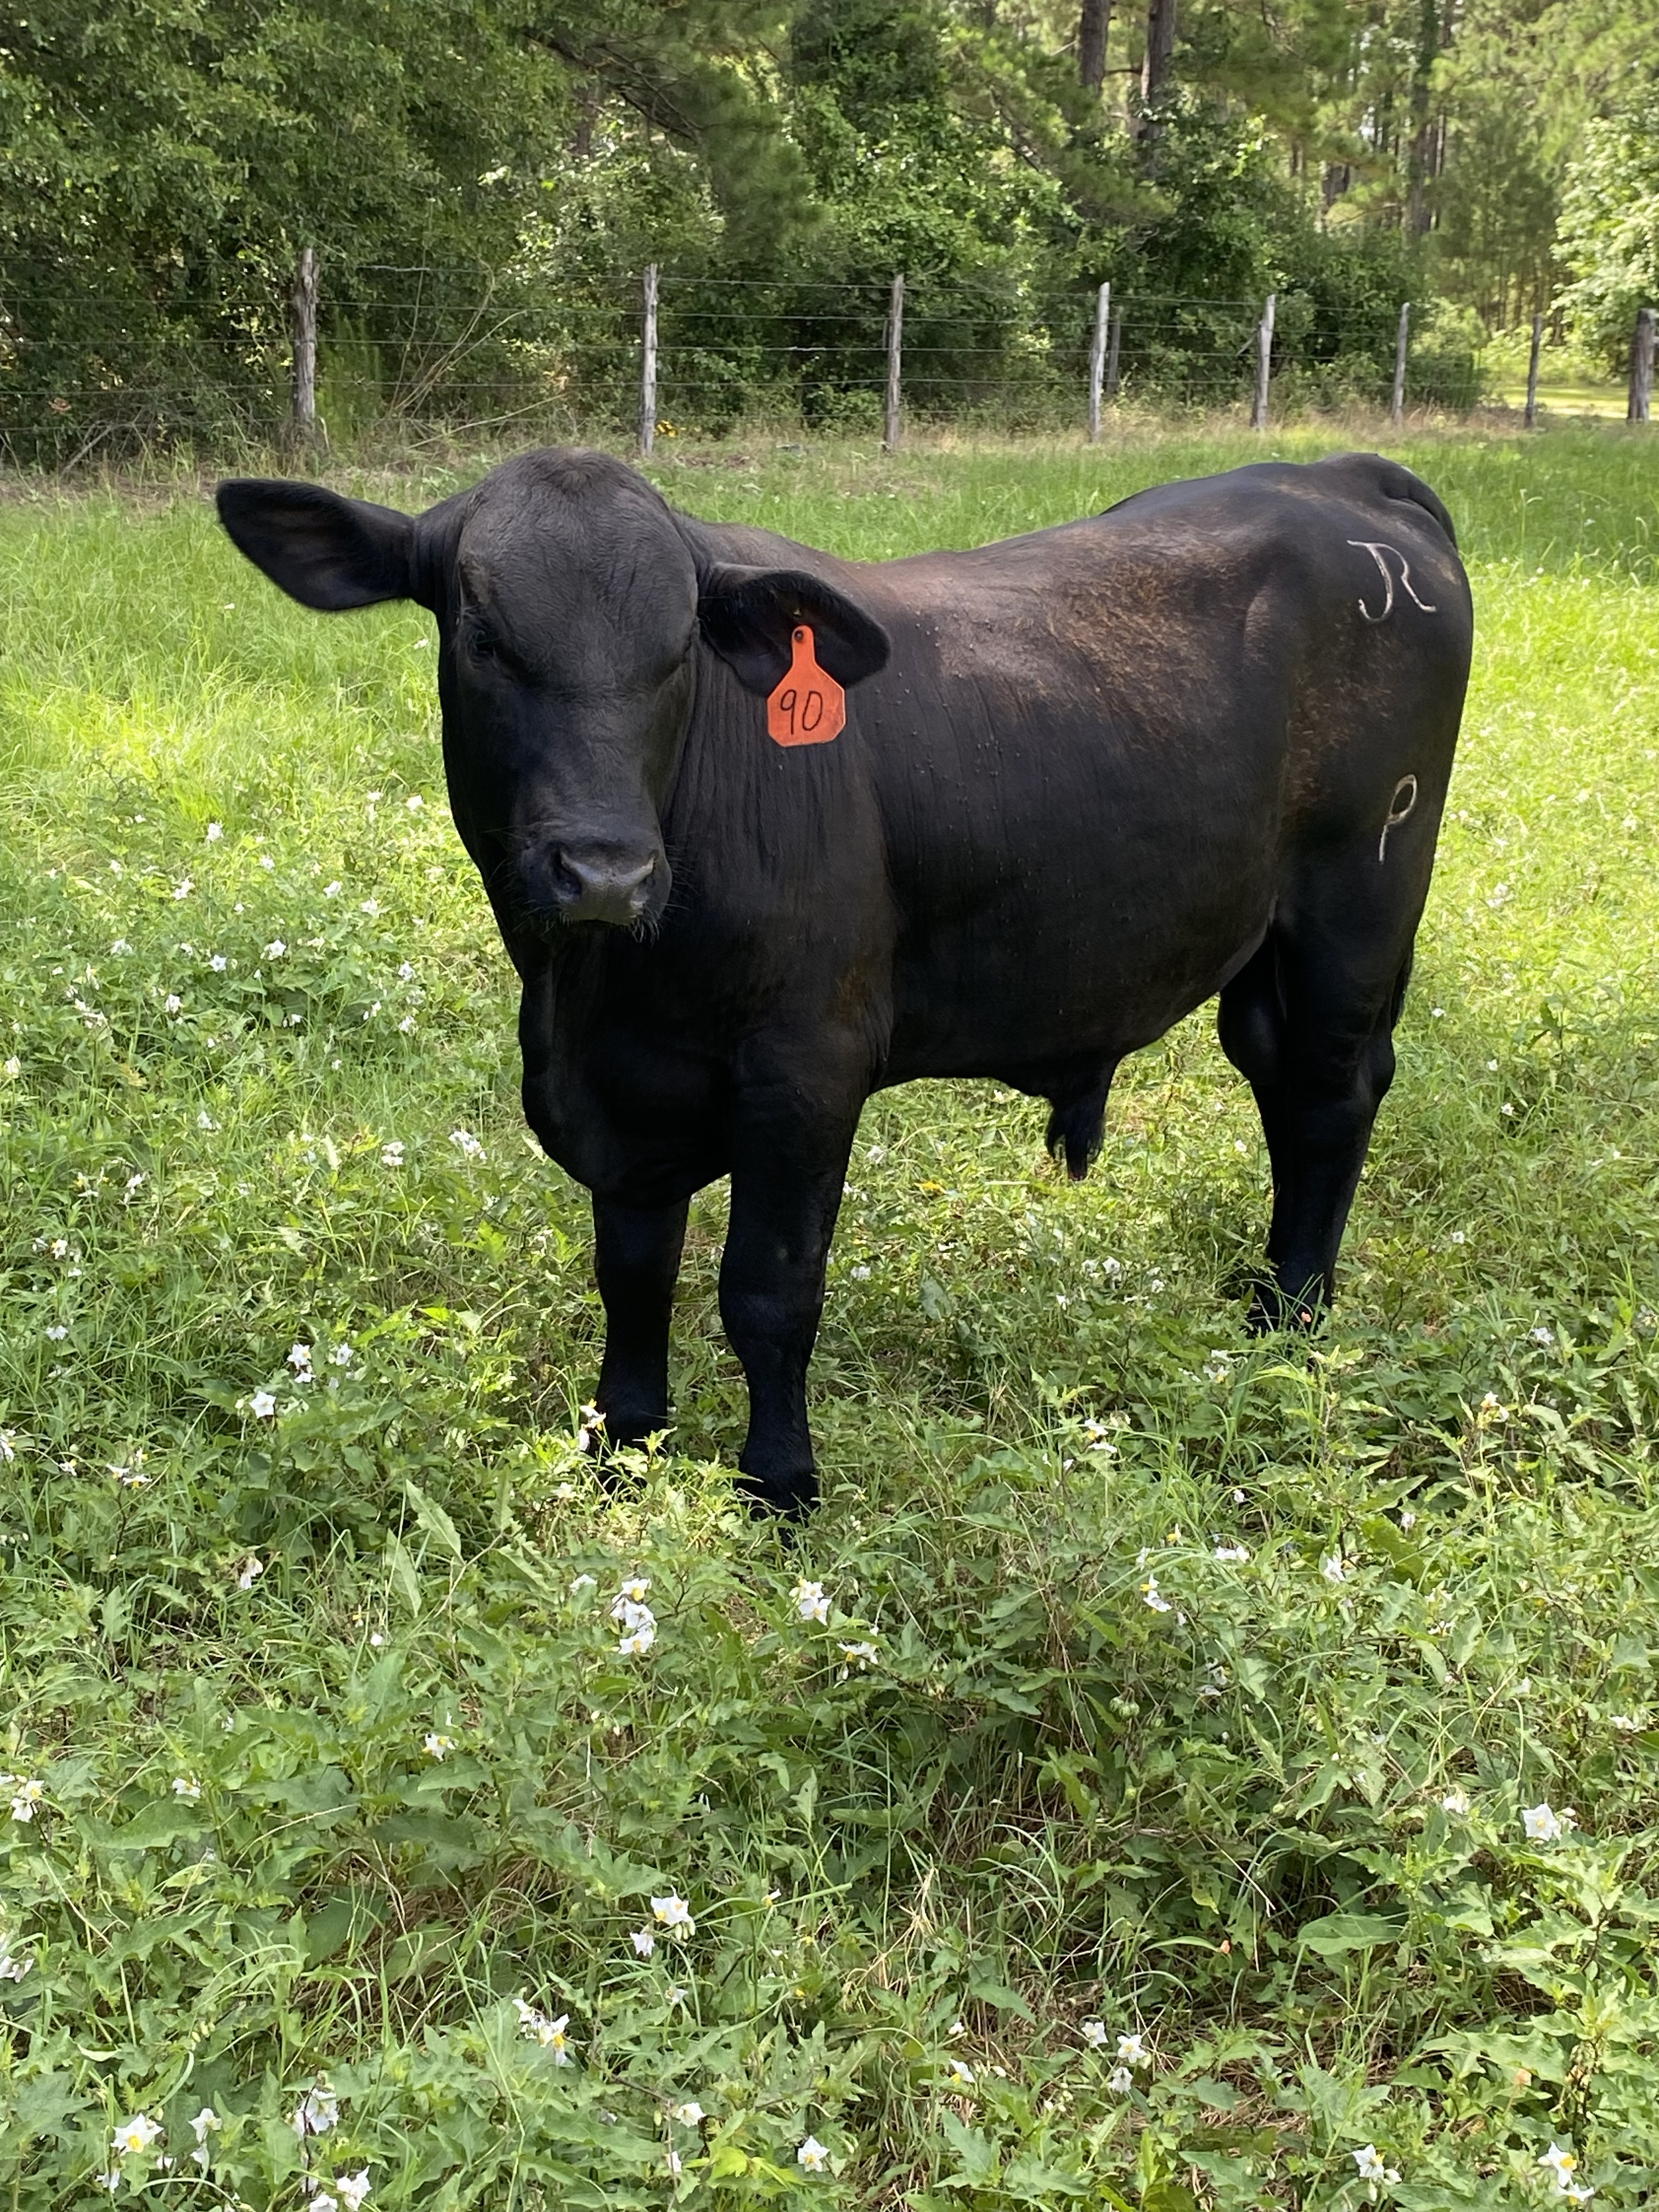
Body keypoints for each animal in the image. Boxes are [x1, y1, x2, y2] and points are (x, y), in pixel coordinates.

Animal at [217, 447, 1472, 1516]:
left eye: (678, 649)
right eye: (483, 637)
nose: (606, 869)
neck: (593, 992)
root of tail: (1341, 478)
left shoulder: (804, 1070)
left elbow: (769, 1294)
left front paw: (779, 1485)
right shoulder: (622, 1102)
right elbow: (632, 1274)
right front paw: (624, 1446)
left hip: (1357, 909)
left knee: (1328, 1098)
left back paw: (1291, 1324)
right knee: (1279, 1080)